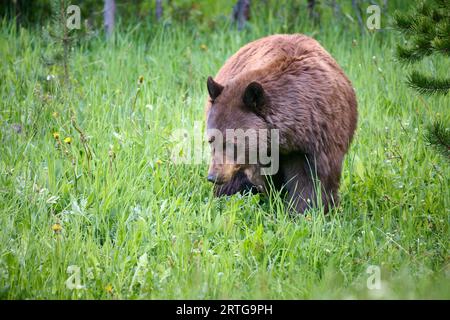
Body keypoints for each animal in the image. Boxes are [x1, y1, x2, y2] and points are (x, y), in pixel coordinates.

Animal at [206, 33, 356, 214]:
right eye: (211, 140)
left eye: (232, 143)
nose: (213, 176)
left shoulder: (319, 134)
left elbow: (313, 179)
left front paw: (305, 209)